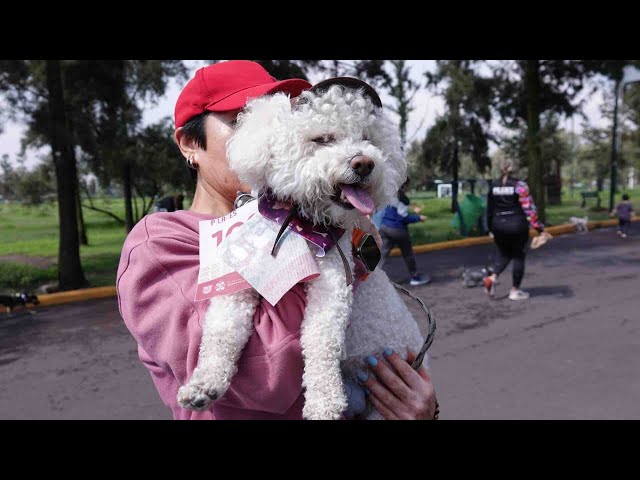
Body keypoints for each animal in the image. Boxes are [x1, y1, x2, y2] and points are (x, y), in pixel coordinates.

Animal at [176, 77, 424, 418]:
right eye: (322, 139)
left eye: (367, 138)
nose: (365, 162)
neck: (297, 222)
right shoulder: (240, 281)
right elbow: (221, 330)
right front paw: (203, 384)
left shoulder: (334, 282)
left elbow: (320, 339)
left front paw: (324, 403)